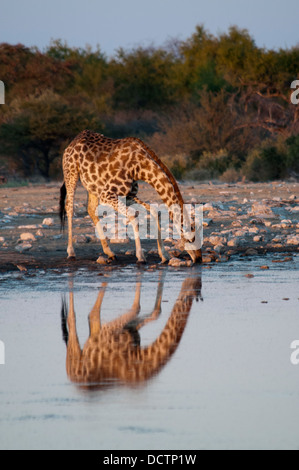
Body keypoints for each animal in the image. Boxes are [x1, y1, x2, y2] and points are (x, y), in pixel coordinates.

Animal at [59, 130, 203, 264]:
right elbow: (134, 216)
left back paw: (110, 253)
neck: (141, 167)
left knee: (91, 209)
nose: (199, 259)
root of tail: (72, 143)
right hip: (71, 173)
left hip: (93, 186)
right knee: (69, 207)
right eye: (191, 239)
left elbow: (155, 211)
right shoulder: (107, 194)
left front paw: (164, 256)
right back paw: (71, 252)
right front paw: (141, 257)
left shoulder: (128, 195)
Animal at [60, 274, 202, 388]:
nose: (195, 278)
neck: (140, 357)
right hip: (75, 353)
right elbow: (136, 308)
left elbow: (154, 312)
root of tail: (72, 377)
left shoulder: (130, 330)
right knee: (71, 320)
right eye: (197, 285)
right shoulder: (107, 333)